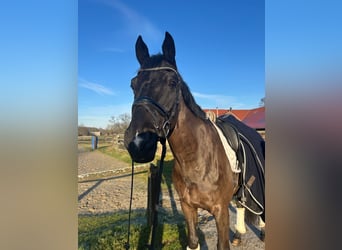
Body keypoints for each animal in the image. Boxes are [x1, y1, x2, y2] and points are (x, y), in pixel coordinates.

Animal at [125, 32, 264, 249]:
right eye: (133, 84)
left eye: (172, 82)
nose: (139, 143)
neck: (196, 159)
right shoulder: (187, 207)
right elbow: (192, 241)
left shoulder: (220, 211)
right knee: (241, 204)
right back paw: (239, 235)